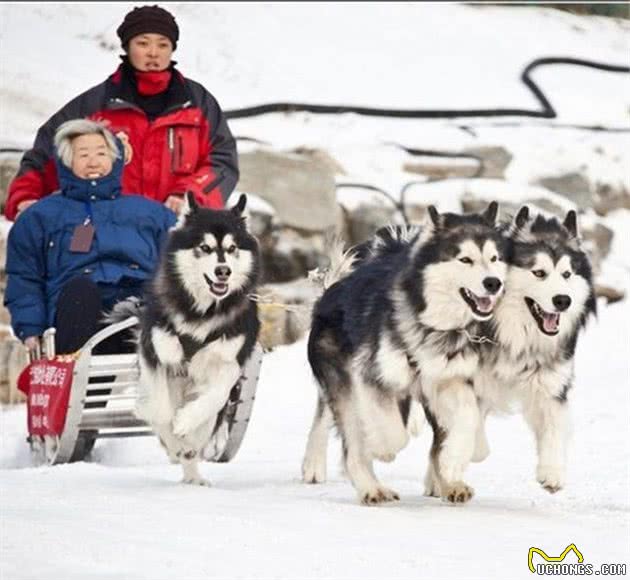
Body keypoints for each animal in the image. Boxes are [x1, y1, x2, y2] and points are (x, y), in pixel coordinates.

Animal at [135, 194, 260, 484]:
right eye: (205, 247)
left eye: (232, 248)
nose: (223, 271)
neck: (201, 312)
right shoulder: (154, 354)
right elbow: (160, 410)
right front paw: (172, 439)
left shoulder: (230, 362)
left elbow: (215, 396)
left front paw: (185, 421)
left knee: (201, 435)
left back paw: (193, 473)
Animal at [302, 204, 508, 502]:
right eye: (465, 259)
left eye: (494, 258)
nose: (494, 283)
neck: (434, 324)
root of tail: (331, 292)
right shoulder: (371, 375)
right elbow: (392, 435)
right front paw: (382, 448)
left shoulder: (448, 380)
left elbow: (467, 421)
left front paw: (459, 459)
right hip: (342, 381)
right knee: (344, 433)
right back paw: (364, 484)